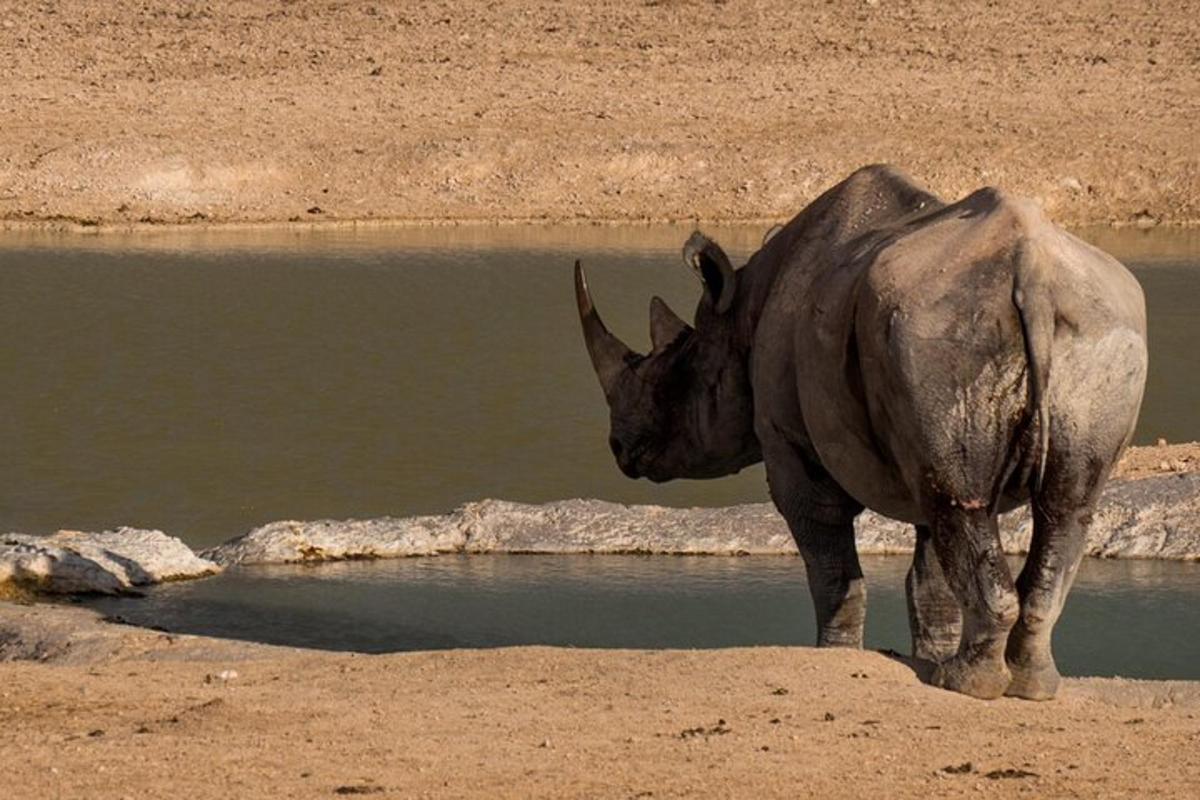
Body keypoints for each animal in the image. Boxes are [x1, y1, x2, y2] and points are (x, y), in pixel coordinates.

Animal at [576, 164, 1147, 700]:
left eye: (673, 378)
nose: (620, 448)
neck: (741, 317)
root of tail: (1032, 270)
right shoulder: (911, 439)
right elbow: (931, 580)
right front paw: (928, 659)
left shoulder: (791, 446)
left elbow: (834, 573)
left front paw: (834, 656)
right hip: (1098, 323)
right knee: (1062, 507)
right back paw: (1028, 686)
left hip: (941, 336)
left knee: (963, 504)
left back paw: (968, 685)